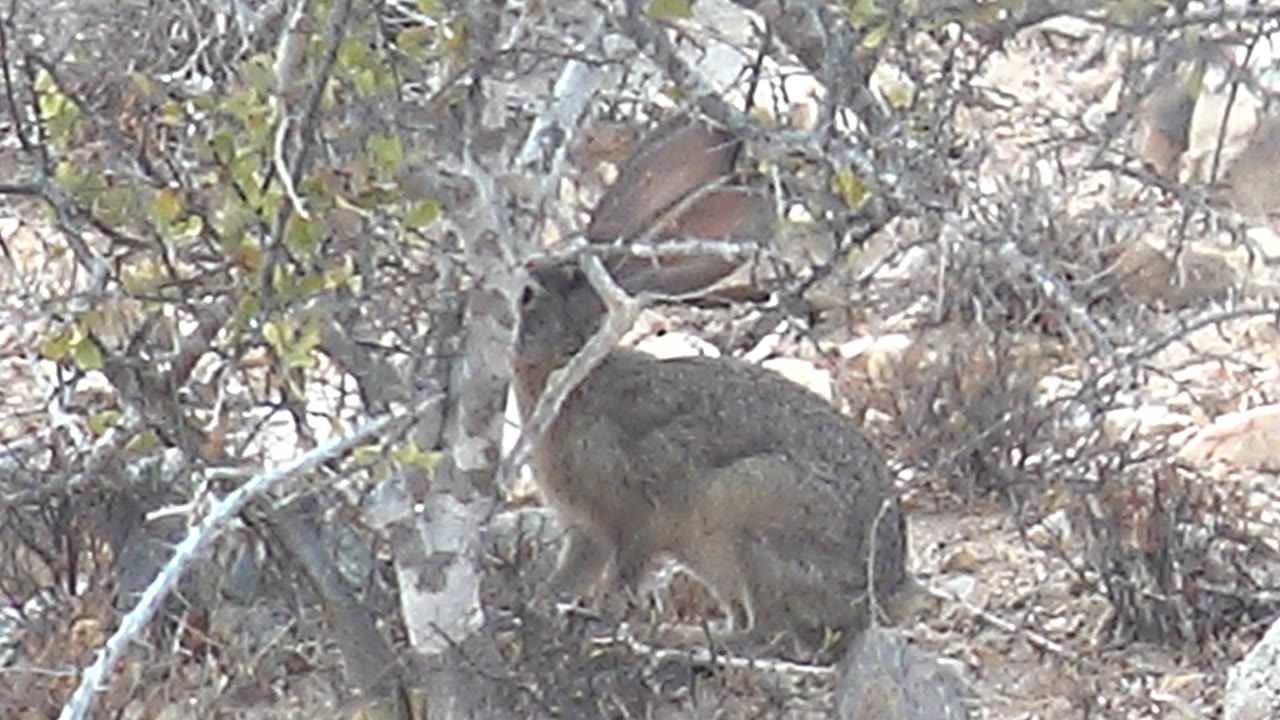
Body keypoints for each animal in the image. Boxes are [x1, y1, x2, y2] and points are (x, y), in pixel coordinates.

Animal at [512, 117, 911, 659]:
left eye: (528, 296)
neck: (572, 367)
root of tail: (878, 600)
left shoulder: (631, 518)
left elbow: (624, 575)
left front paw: (602, 622)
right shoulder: (584, 532)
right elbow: (569, 578)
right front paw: (537, 610)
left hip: (751, 509)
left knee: (767, 635)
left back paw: (677, 639)